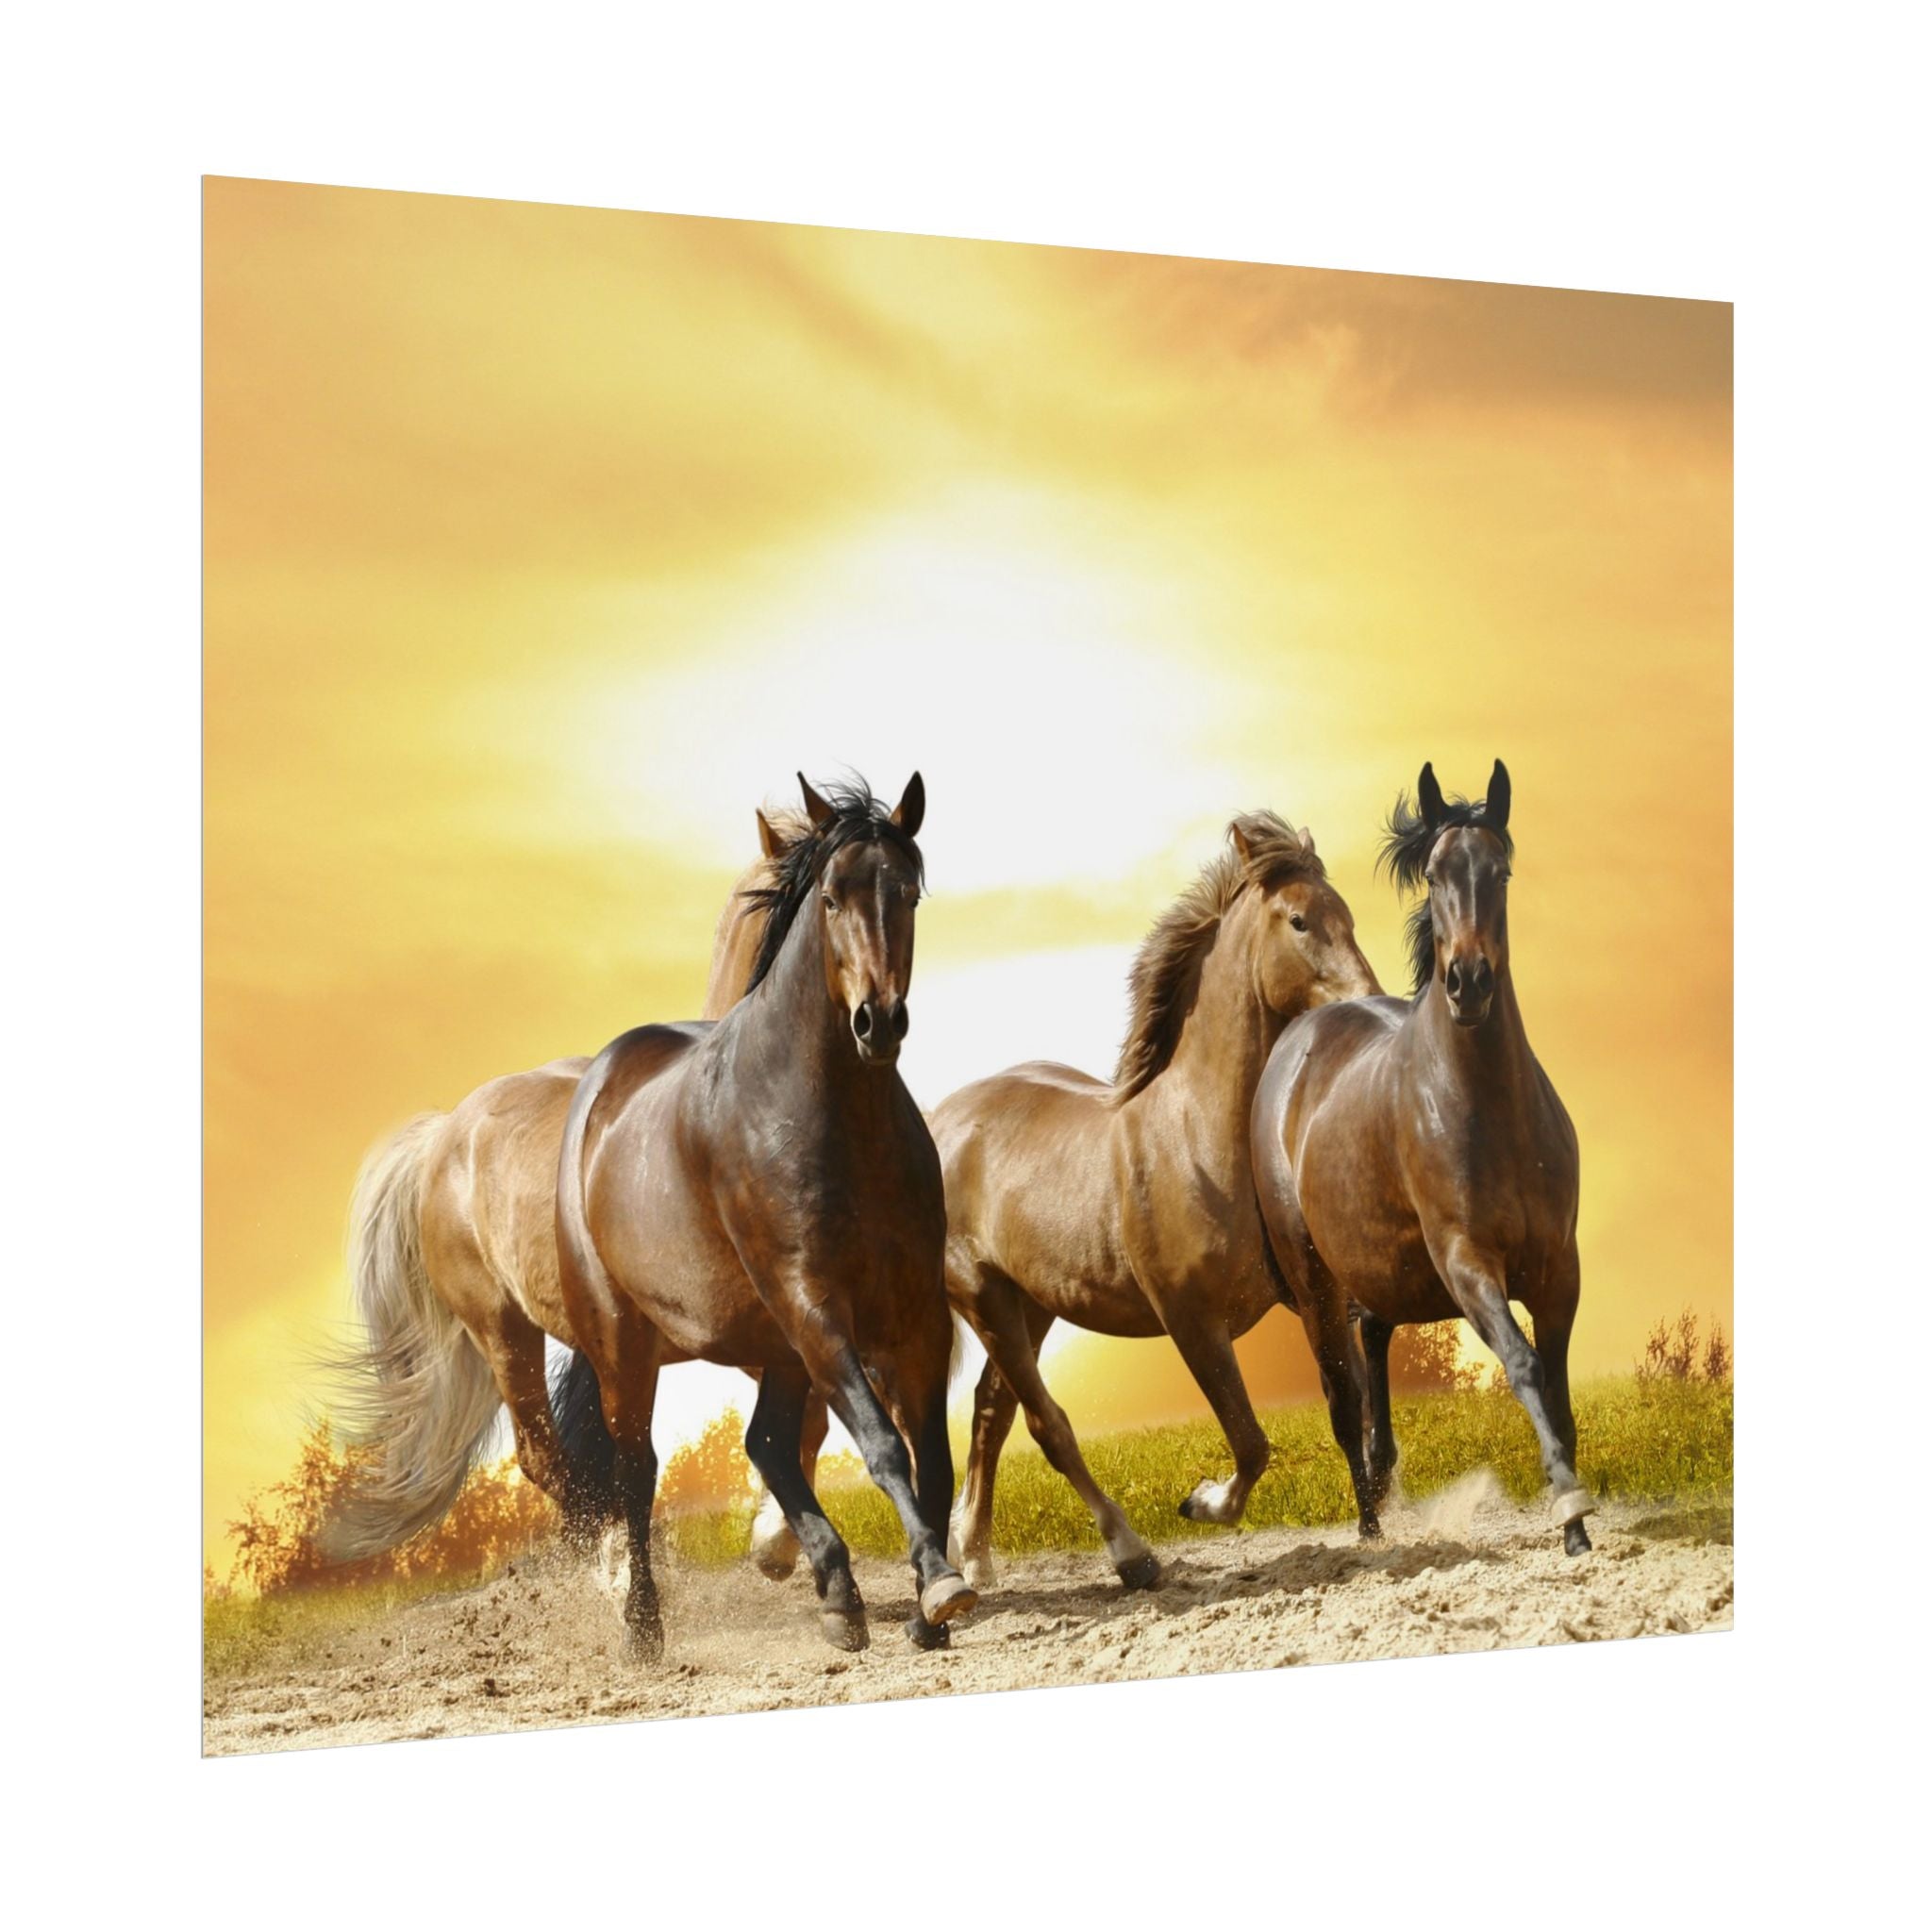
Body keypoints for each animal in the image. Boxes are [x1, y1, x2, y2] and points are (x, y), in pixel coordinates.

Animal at [554, 773, 975, 1659]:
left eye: (907, 892)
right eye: (831, 896)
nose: (878, 1022)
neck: (832, 1119)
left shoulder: (914, 1312)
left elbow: (931, 1457)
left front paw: (930, 1606)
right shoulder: (815, 1305)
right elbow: (883, 1444)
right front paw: (940, 1583)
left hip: (775, 1343)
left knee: (767, 1444)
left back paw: (839, 1596)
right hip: (627, 1348)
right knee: (637, 1471)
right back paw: (644, 1630)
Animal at [930, 812, 1379, 1593]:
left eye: (1346, 913)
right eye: (1298, 920)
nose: (1368, 997)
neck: (1198, 1138)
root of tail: (938, 1120)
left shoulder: (1315, 1296)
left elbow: (1345, 1404)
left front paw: (1376, 1524)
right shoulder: (1191, 1321)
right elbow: (1251, 1442)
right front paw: (1200, 1502)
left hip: (1031, 1304)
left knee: (991, 1412)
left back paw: (977, 1557)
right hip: (984, 1299)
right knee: (1047, 1424)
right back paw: (1131, 1555)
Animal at [1250, 760, 1593, 1554]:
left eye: (1500, 870)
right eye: (1434, 874)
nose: (1468, 983)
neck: (1490, 1109)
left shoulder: (1559, 1267)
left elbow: (1559, 1383)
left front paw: (1577, 1521)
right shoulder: (1467, 1261)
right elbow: (1525, 1366)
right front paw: (1570, 1509)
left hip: (1384, 1270)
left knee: (1374, 1343)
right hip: (1314, 1281)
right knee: (1341, 1395)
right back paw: (1371, 1527)